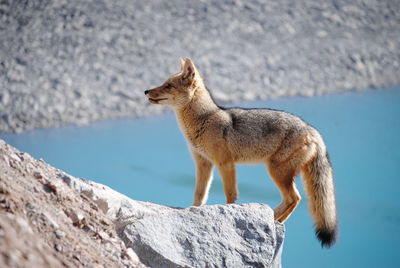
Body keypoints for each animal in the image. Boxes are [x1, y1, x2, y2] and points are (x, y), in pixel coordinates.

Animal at [145, 58, 338, 247]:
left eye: (168, 85)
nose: (146, 91)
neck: (205, 119)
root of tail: (313, 130)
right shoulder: (203, 163)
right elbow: (199, 194)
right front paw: (193, 211)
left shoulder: (225, 163)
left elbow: (230, 194)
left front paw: (230, 216)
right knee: (294, 199)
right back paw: (276, 220)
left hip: (276, 171)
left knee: (294, 198)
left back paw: (272, 219)